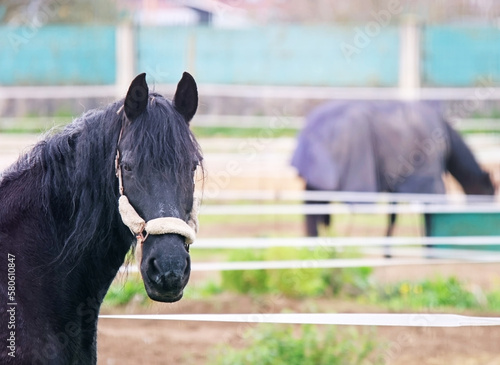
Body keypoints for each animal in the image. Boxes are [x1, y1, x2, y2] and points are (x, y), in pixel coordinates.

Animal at [292, 99, 494, 237]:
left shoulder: (397, 185)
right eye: (490, 195)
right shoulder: (428, 183)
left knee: (315, 212)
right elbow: (428, 217)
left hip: (318, 182)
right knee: (315, 212)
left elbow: (393, 217)